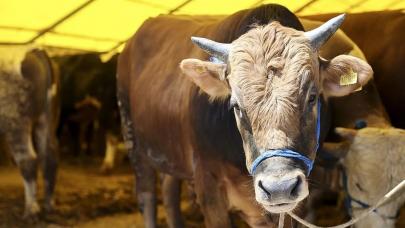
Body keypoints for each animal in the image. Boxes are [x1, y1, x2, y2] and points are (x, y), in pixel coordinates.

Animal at [0, 45, 60, 217]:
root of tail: (35, 50)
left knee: (28, 159)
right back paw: (48, 205)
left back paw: (31, 209)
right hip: (47, 117)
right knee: (49, 156)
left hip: (16, 120)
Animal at [117, 4, 372, 227]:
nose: (279, 187)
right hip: (135, 147)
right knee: (147, 197)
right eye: (237, 106)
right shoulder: (209, 190)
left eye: (312, 97)